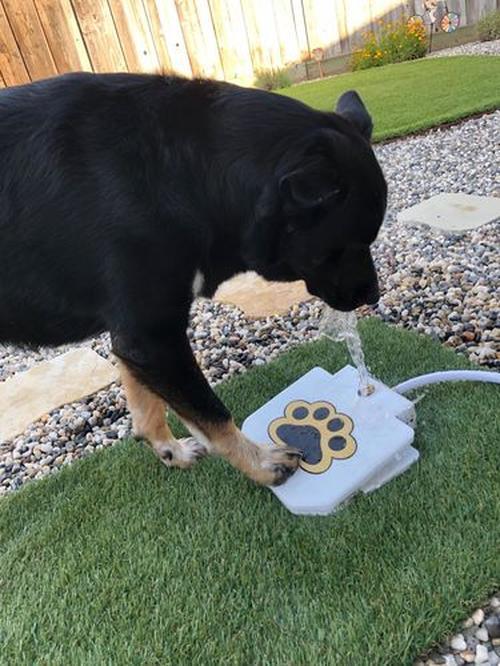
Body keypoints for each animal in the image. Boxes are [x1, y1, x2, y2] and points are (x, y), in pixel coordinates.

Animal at [0, 75, 386, 486]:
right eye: (350, 243)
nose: (373, 296)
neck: (185, 173)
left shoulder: (135, 335)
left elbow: (145, 402)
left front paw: (169, 449)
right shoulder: (153, 337)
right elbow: (212, 413)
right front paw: (262, 464)